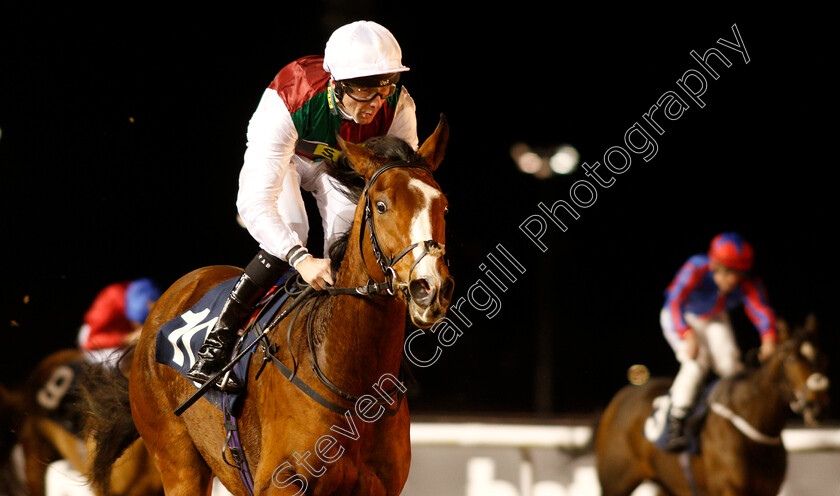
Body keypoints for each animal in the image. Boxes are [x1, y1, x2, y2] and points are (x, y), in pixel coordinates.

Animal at [80, 114, 452, 494]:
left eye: (443, 205)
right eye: (381, 206)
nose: (429, 288)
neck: (352, 382)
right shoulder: (281, 480)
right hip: (177, 461)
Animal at [592, 318, 832, 496]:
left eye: (822, 357)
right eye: (791, 359)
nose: (818, 404)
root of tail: (621, 396)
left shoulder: (768, 490)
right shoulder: (728, 489)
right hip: (616, 481)